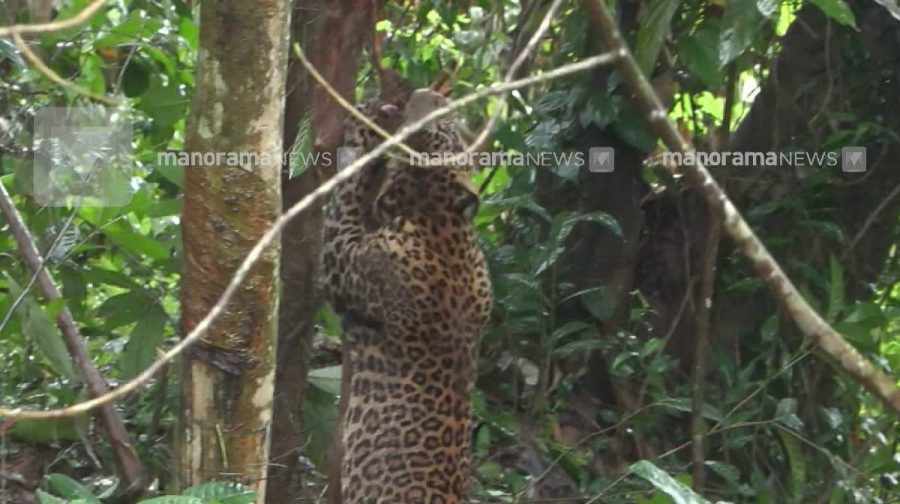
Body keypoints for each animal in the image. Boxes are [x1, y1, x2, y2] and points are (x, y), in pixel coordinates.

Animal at [320, 88, 492, 504]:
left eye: (444, 129)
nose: (425, 93)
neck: (440, 221)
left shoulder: (343, 258)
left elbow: (346, 191)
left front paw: (364, 124)